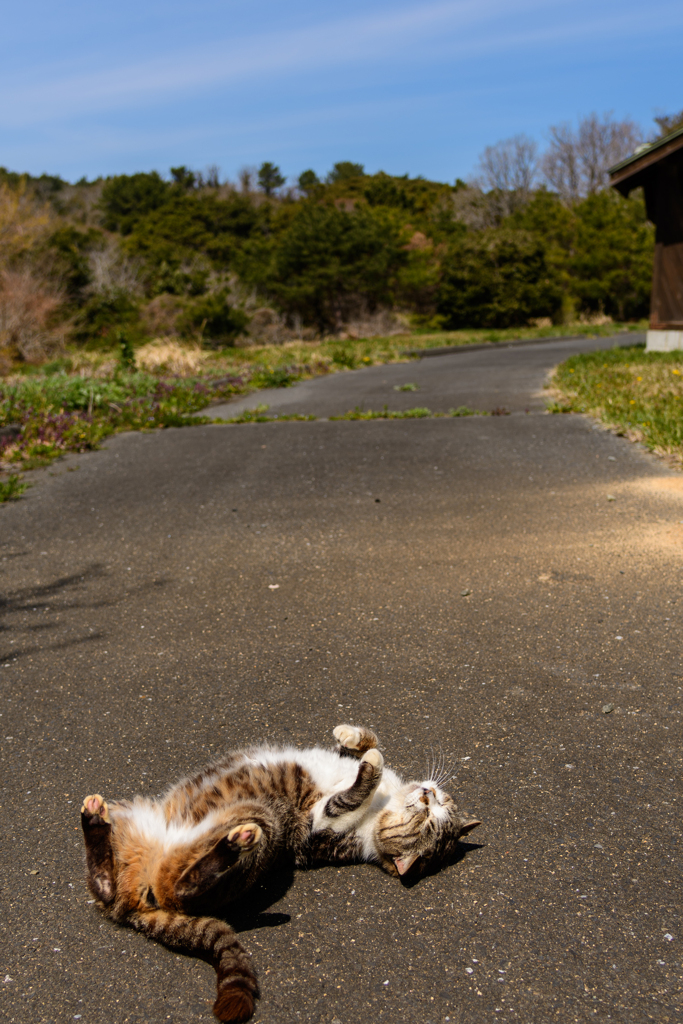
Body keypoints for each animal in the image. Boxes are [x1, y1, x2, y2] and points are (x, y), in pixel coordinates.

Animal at [81, 724, 481, 1019]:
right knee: (103, 885)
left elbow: (349, 794)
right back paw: (95, 820)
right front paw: (352, 736)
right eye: (434, 809)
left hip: (263, 819)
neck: (387, 802)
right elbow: (369, 743)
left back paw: (234, 844)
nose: (428, 793)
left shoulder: (314, 828)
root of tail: (132, 910)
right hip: (128, 815)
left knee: (180, 889)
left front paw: (371, 764)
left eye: (427, 822)